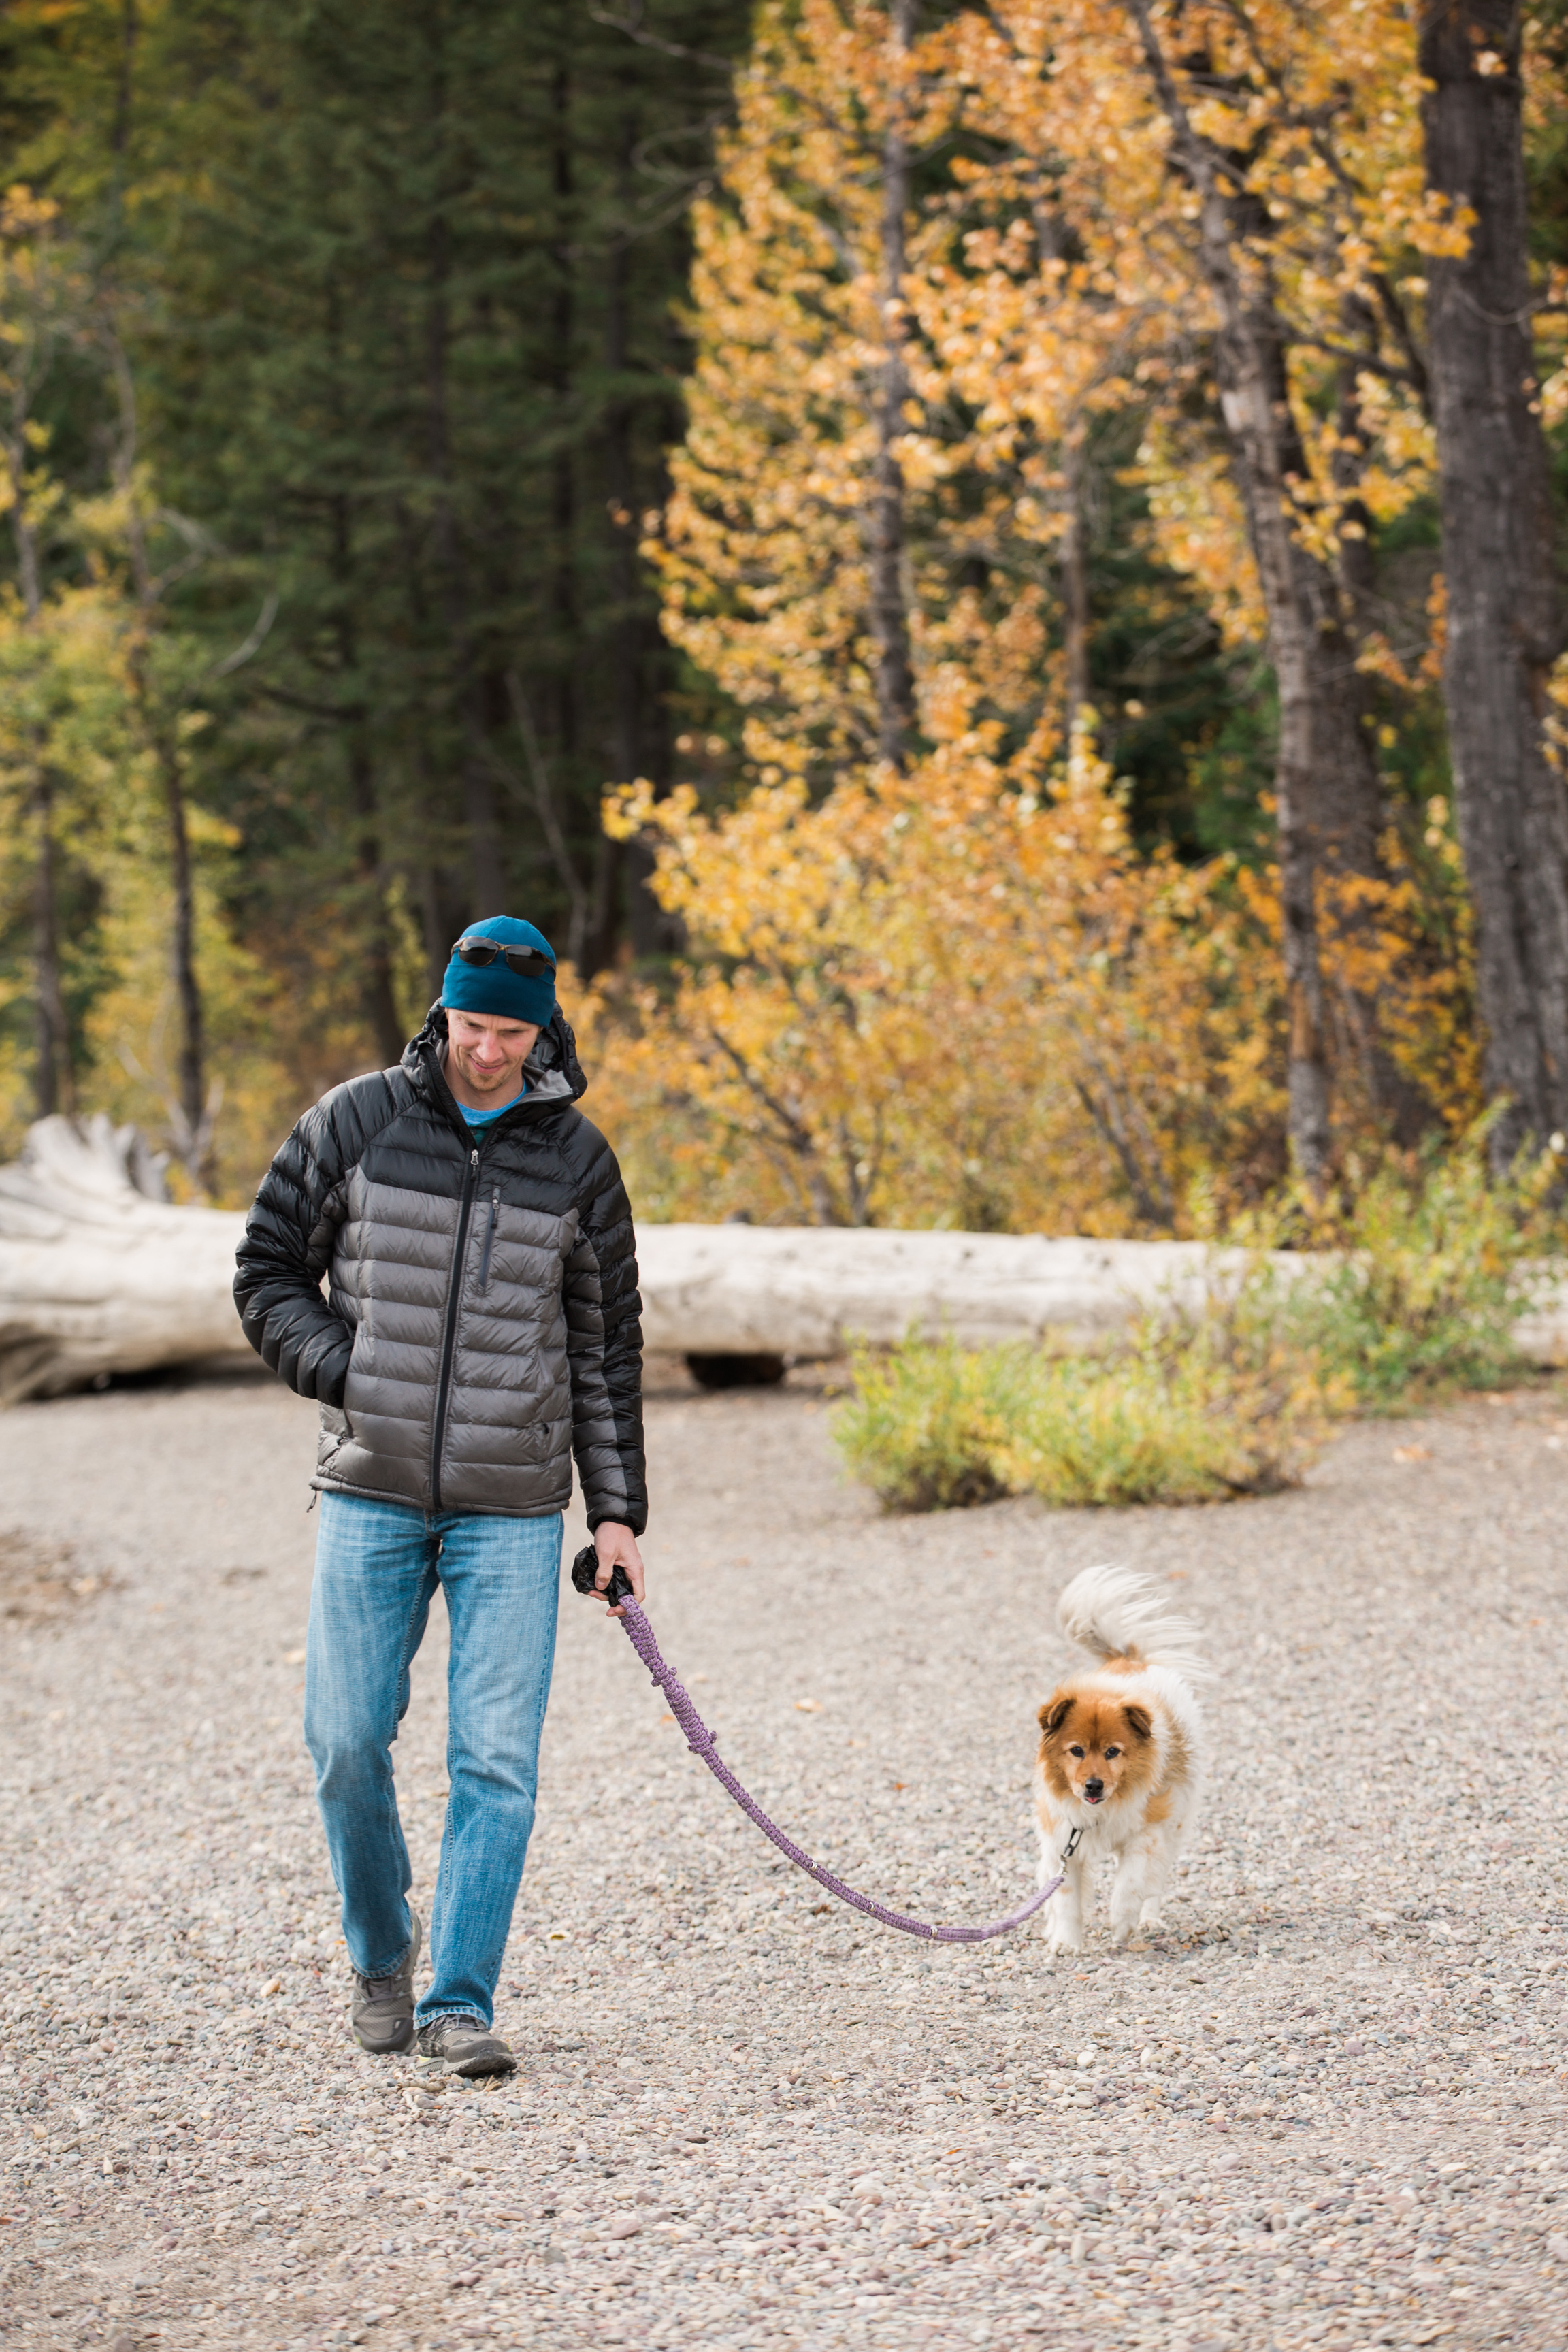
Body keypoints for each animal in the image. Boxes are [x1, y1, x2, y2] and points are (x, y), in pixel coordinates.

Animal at [1034, 1561, 1213, 1947]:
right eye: (1076, 1751)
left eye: (1113, 1752)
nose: (1093, 1786)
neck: (1103, 1810)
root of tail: (1129, 1661)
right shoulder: (1062, 1841)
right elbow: (1065, 1896)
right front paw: (1066, 1942)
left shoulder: (1146, 1835)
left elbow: (1131, 1884)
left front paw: (1122, 1923)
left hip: (1175, 1824)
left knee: (1156, 1881)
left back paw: (1148, 1921)